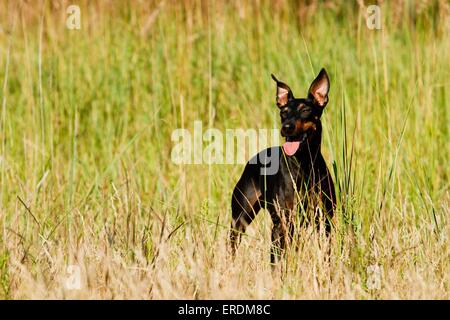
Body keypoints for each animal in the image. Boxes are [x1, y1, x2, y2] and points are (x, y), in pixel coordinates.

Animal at [230, 67, 336, 262]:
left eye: (305, 110)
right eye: (283, 112)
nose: (286, 127)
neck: (304, 165)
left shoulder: (324, 220)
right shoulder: (282, 222)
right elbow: (277, 259)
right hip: (240, 216)